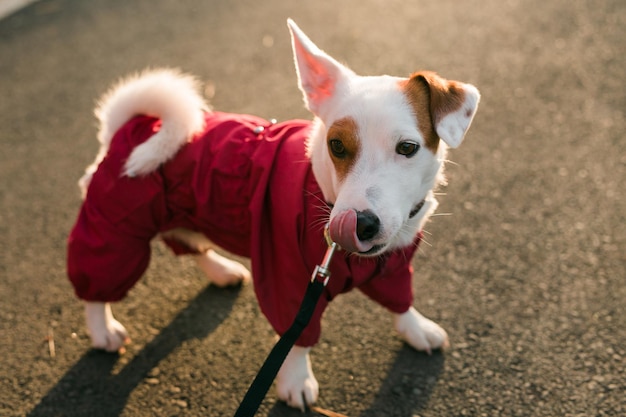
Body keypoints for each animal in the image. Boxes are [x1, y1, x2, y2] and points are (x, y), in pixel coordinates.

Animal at [66, 20, 478, 410]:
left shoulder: (392, 266)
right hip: (116, 228)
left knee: (190, 243)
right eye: (337, 145)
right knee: (96, 283)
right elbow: (296, 336)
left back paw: (220, 270)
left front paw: (415, 328)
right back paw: (102, 329)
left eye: (407, 147)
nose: (359, 223)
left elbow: (400, 300)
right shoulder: (288, 276)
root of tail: (131, 125)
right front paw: (295, 380)